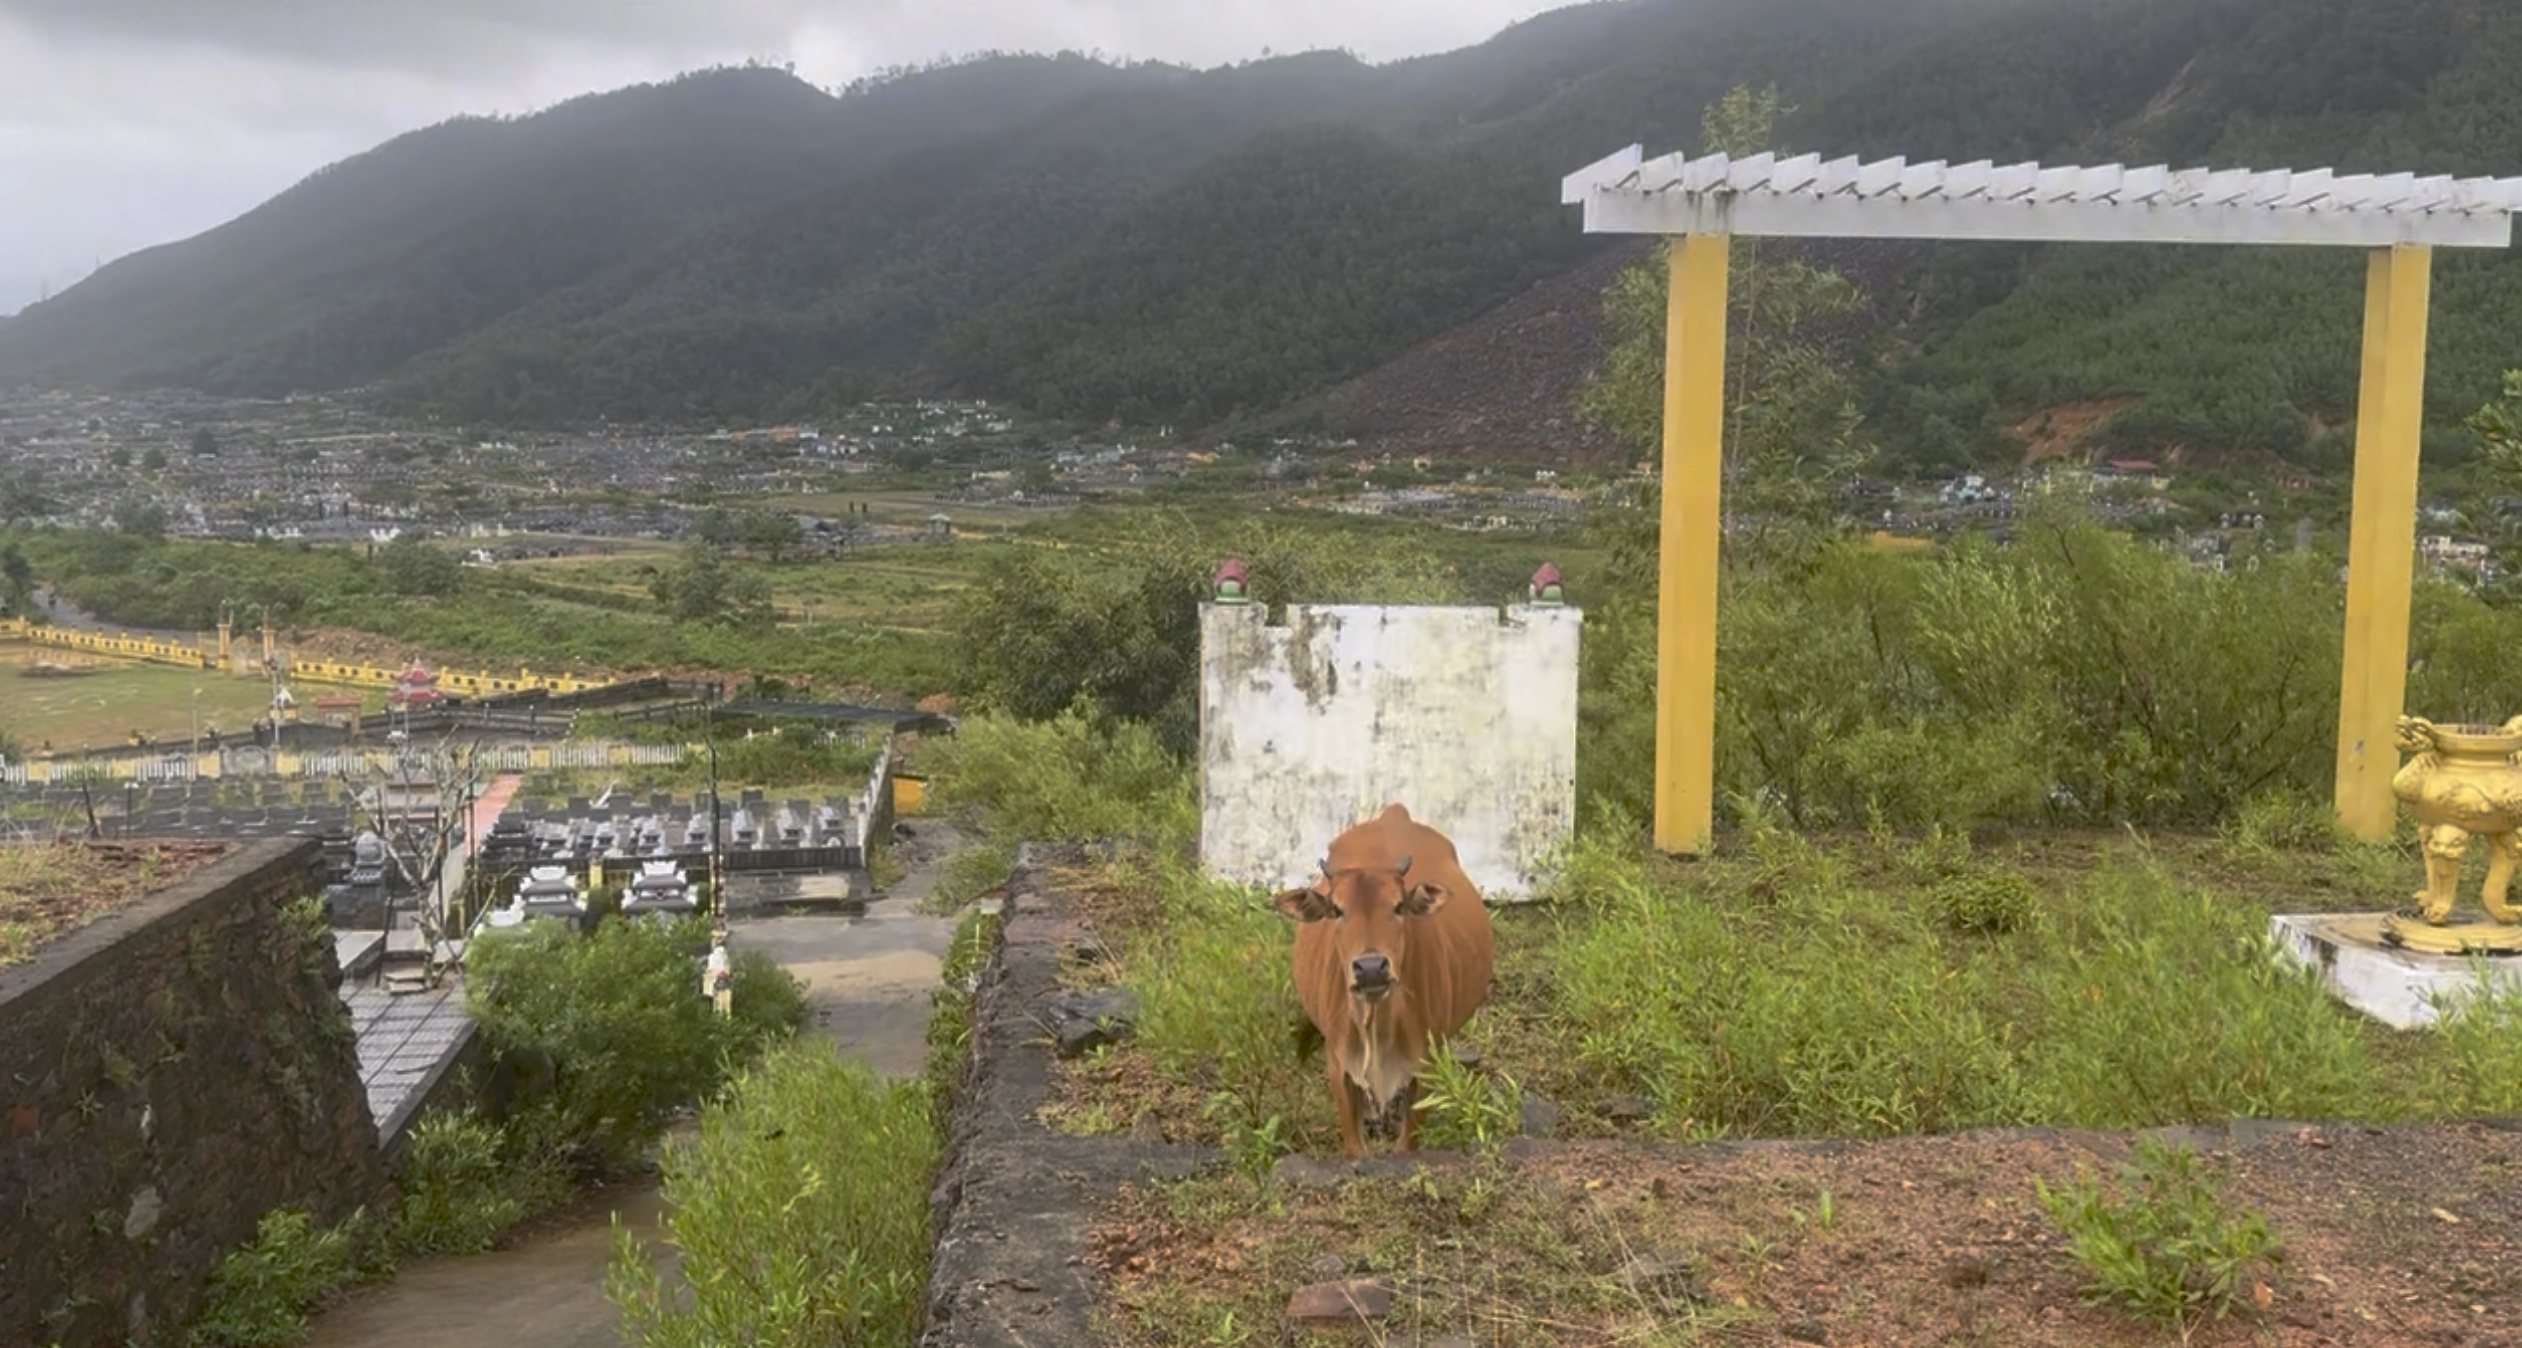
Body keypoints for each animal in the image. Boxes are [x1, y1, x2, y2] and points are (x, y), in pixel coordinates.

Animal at [1281, 802, 1493, 1161]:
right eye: (1336, 910)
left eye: (1398, 906)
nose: (1370, 968)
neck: (1377, 1022)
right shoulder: (1339, 1065)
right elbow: (1354, 1145)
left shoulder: (1427, 1064)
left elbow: (1408, 1141)